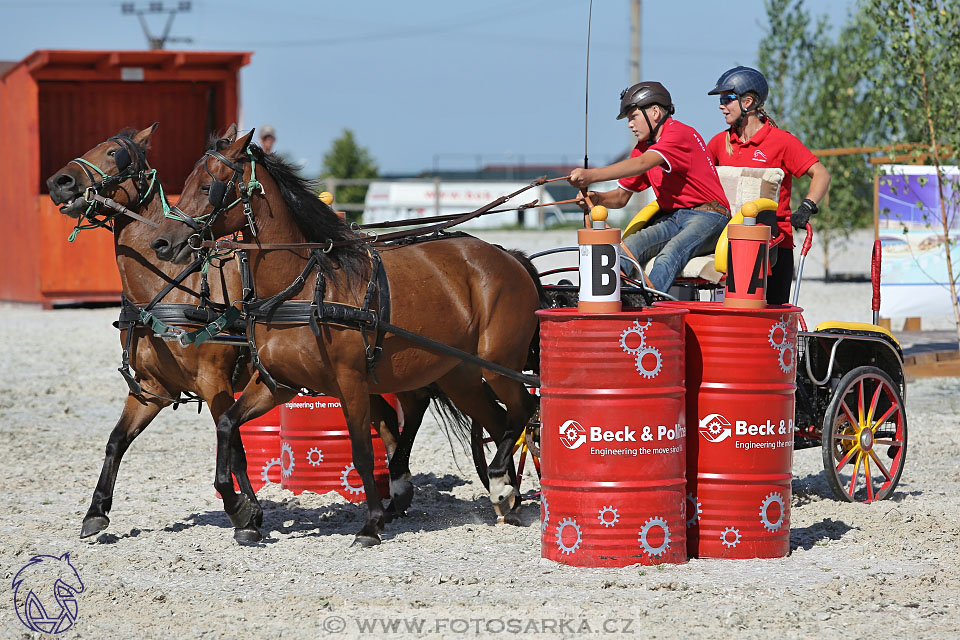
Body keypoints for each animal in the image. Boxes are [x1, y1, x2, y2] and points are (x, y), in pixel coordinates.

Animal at [46, 124, 416, 540]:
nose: (59, 182)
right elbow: (116, 441)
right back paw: (395, 495)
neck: (170, 287)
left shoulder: (214, 382)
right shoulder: (152, 390)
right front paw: (96, 511)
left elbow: (235, 448)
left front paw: (244, 512)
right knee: (386, 420)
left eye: (113, 153)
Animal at [150, 130, 540, 544]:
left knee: (524, 409)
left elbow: (362, 452)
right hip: (459, 375)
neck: (301, 286)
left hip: (498, 364)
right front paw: (240, 510)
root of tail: (508, 257)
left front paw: (371, 524)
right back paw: (507, 496)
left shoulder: (351, 381)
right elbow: (226, 426)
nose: (162, 243)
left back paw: (500, 482)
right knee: (499, 422)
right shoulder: (279, 385)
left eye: (208, 187)